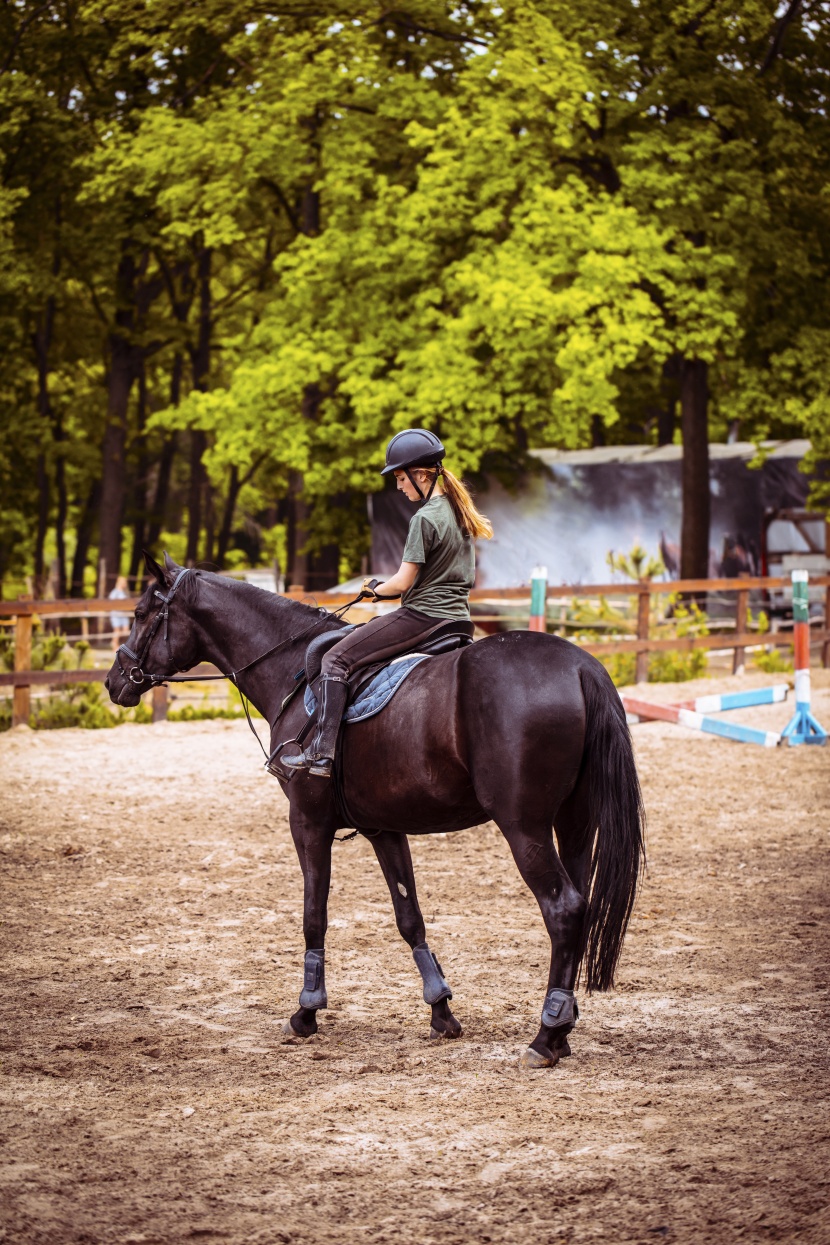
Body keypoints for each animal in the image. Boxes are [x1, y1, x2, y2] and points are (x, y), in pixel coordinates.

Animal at [105, 555, 647, 1070]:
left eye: (141, 613)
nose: (114, 681)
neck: (291, 671)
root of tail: (580, 667)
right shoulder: (384, 827)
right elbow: (410, 918)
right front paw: (441, 1010)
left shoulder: (308, 823)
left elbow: (314, 915)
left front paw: (306, 1011)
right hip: (573, 823)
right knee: (581, 906)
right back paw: (563, 1028)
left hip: (524, 828)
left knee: (563, 909)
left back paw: (545, 1037)